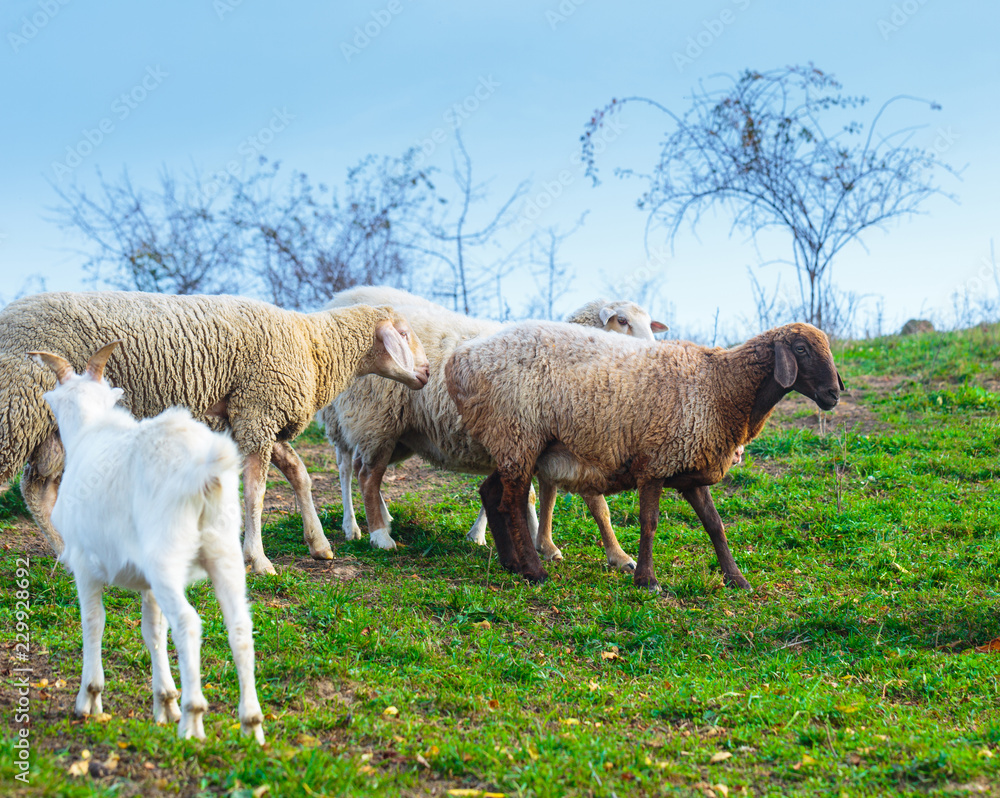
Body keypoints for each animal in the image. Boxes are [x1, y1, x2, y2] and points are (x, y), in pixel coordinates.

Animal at [0, 291, 430, 575]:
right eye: (405, 333)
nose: (426, 373)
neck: (313, 347)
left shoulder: (256, 418)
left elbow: (299, 474)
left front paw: (319, 544)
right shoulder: (259, 412)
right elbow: (256, 494)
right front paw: (258, 559)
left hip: (52, 429)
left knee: (37, 489)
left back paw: (69, 555)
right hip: (17, 408)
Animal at [29, 342, 265, 743]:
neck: (92, 432)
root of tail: (205, 469)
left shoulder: (85, 563)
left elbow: (94, 622)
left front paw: (89, 698)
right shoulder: (148, 583)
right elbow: (153, 630)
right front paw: (164, 703)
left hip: (166, 555)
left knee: (188, 623)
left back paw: (193, 720)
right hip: (223, 550)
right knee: (239, 628)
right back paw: (251, 723)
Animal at [322, 288, 666, 567]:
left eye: (650, 322)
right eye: (621, 320)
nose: (653, 353)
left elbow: (541, 496)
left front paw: (537, 542)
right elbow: (596, 505)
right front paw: (619, 556)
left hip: (395, 433)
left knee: (365, 470)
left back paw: (381, 520)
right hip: (373, 417)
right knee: (358, 472)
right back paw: (370, 533)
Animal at [445, 321, 843, 590]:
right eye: (801, 349)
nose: (834, 393)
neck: (721, 387)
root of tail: (459, 362)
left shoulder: (689, 467)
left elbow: (715, 525)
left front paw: (736, 579)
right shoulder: (655, 463)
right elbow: (649, 524)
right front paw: (647, 580)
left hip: (513, 442)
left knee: (491, 492)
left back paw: (511, 563)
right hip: (518, 432)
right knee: (512, 502)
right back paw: (533, 570)